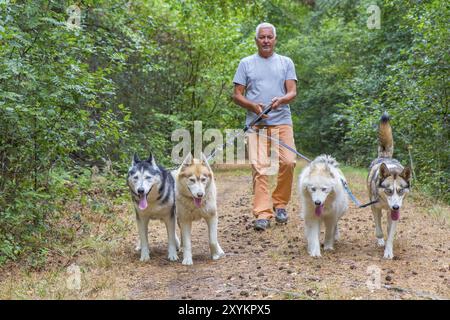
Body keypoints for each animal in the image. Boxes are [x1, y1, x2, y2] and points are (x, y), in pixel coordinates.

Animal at [370, 114, 412, 258]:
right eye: (388, 190)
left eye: (401, 191)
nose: (395, 207)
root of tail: (385, 157)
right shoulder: (375, 208)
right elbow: (378, 230)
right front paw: (381, 241)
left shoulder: (395, 213)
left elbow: (390, 234)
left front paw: (388, 251)